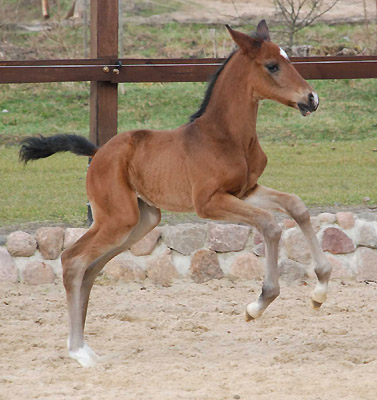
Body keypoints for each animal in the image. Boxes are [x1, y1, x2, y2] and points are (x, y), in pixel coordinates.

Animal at [20, 21, 330, 366]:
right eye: (272, 65)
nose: (312, 98)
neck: (226, 136)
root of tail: (98, 152)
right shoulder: (209, 202)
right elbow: (270, 224)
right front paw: (258, 304)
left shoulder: (246, 191)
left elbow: (296, 206)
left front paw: (320, 290)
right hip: (117, 218)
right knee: (73, 259)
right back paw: (77, 351)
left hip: (141, 220)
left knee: (91, 267)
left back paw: (85, 346)